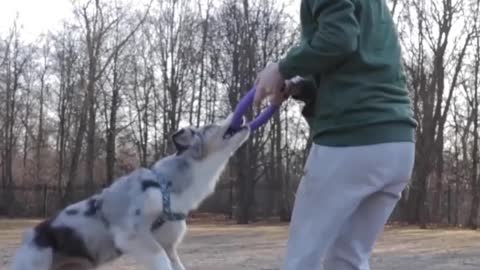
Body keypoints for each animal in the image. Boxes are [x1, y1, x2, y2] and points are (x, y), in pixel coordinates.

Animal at [9, 115, 249, 270]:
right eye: (210, 127)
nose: (243, 117)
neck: (165, 186)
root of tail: (29, 237)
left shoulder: (169, 245)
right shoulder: (134, 235)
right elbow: (161, 261)